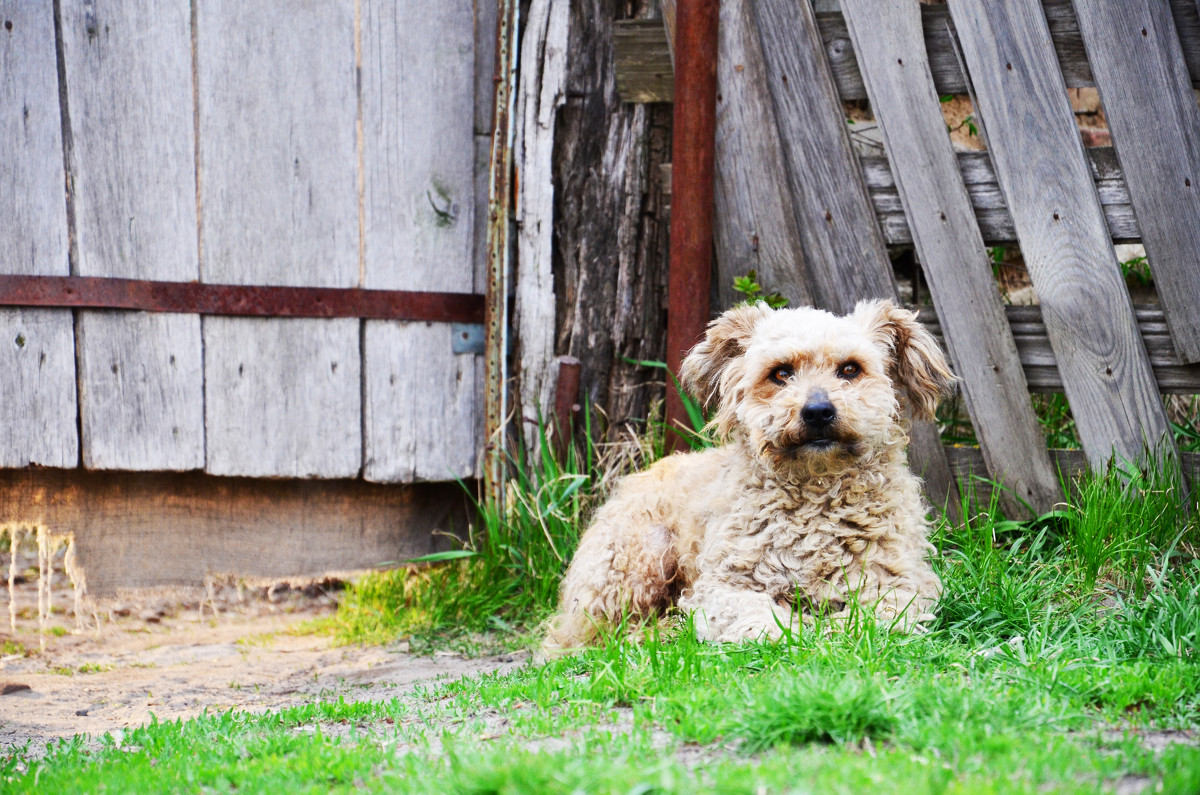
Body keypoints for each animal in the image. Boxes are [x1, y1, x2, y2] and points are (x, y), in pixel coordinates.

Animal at [544, 299, 955, 653]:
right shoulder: (724, 587)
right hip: (640, 558)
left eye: (850, 369)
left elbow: (870, 620)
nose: (817, 411)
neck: (816, 497)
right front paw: (800, 629)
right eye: (781, 373)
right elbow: (769, 621)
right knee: (592, 636)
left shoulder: (899, 584)